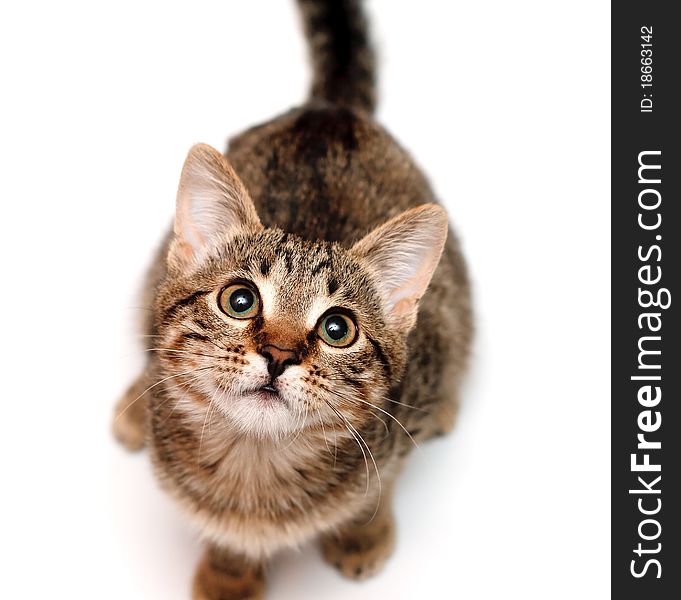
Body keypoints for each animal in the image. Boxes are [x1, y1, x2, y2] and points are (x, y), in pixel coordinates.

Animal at [114, 1, 470, 600]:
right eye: (239, 300)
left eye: (338, 329)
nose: (279, 355)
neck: (255, 461)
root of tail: (330, 108)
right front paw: (228, 575)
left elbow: (379, 485)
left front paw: (362, 533)